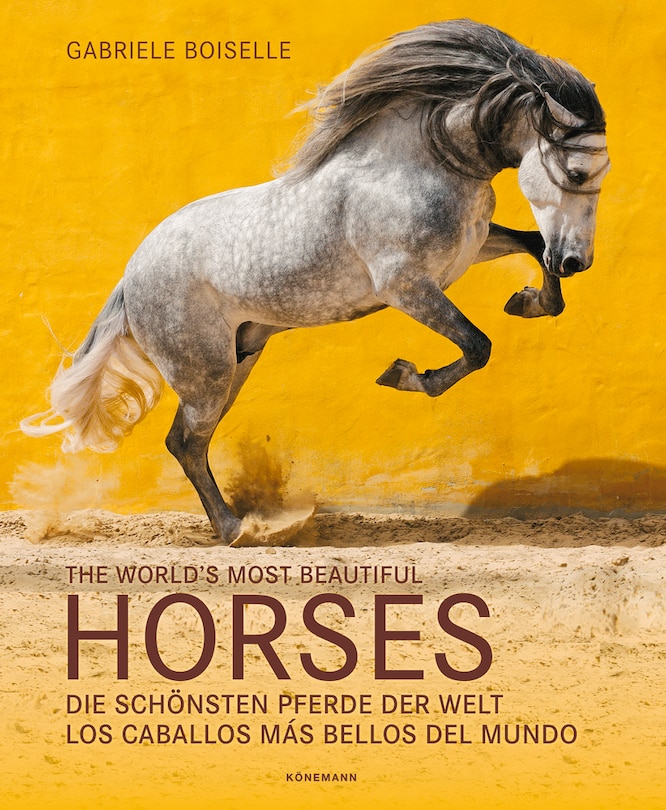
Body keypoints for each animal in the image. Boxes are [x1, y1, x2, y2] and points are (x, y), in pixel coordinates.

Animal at [21, 19, 610, 544]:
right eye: (577, 174)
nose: (578, 261)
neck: (421, 163)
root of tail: (131, 276)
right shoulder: (406, 286)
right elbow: (478, 345)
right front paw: (405, 375)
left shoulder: (468, 251)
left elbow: (532, 249)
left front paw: (529, 301)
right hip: (205, 372)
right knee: (186, 441)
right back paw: (237, 530)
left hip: (238, 359)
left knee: (187, 442)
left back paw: (238, 527)